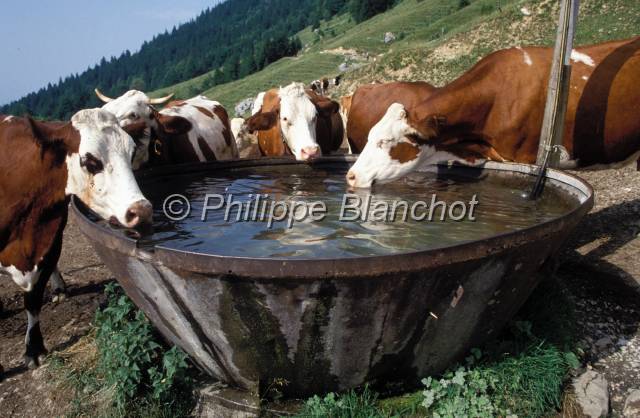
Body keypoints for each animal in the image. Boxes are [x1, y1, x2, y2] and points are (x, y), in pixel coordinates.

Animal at [0, 109, 151, 374]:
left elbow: (33, 301)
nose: (141, 211)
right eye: (90, 162)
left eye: (131, 154)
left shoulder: (49, 244)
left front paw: (34, 349)